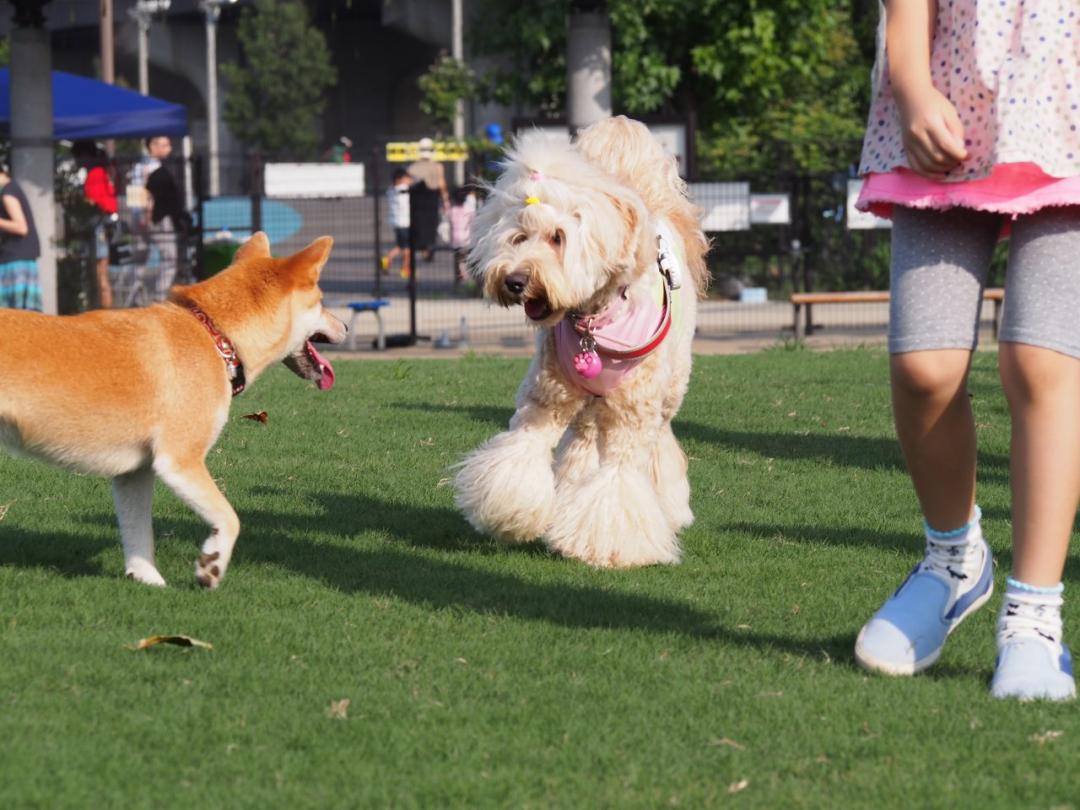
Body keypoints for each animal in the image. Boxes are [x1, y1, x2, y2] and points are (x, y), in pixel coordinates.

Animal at [0, 233, 345, 591]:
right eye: (321, 301)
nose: (346, 325)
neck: (216, 336)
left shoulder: (135, 473)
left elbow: (139, 534)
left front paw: (147, 580)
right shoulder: (180, 461)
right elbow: (230, 518)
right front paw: (211, 565)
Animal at [453, 117, 708, 565]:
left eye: (558, 237)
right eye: (518, 237)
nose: (514, 281)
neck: (594, 318)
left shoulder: (632, 414)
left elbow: (620, 481)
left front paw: (608, 547)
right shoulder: (546, 398)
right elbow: (520, 454)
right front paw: (508, 515)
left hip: (668, 389)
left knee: (660, 445)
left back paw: (671, 507)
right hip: (586, 402)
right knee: (584, 441)